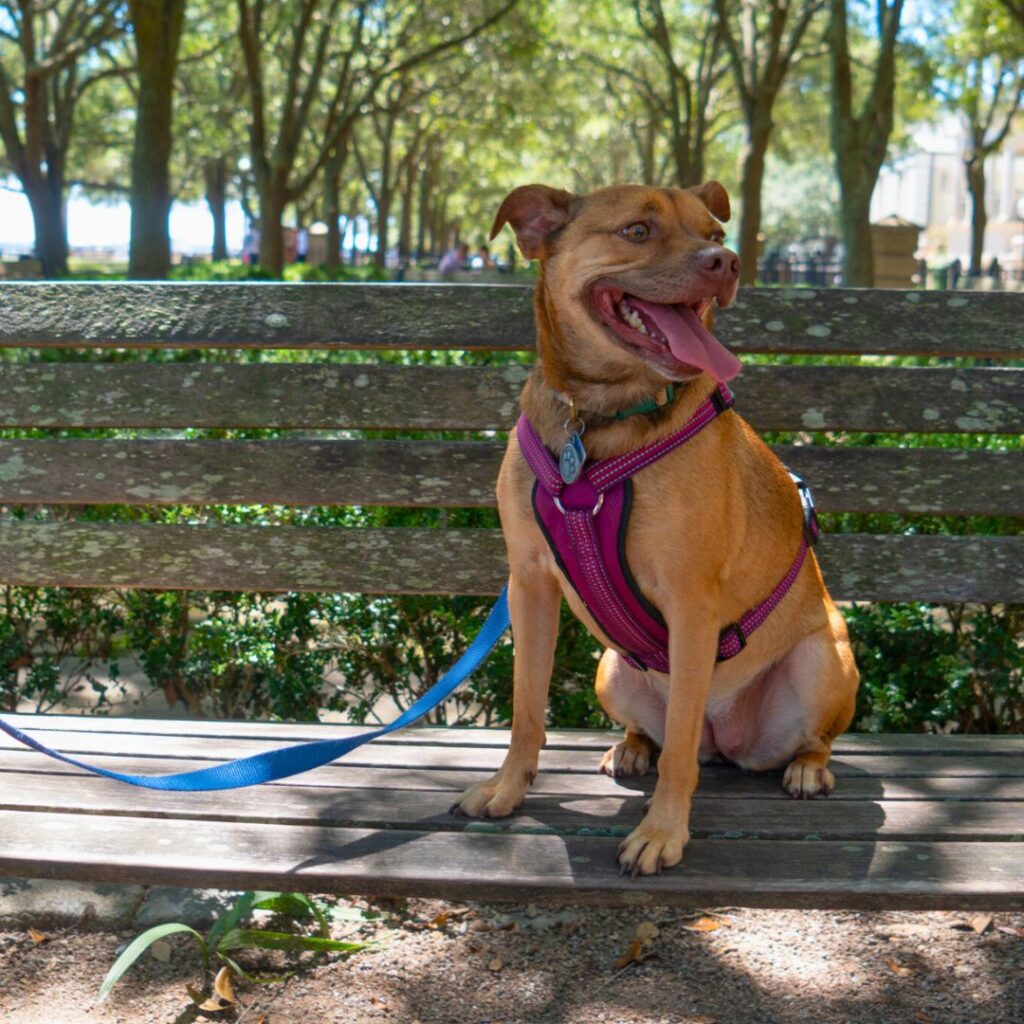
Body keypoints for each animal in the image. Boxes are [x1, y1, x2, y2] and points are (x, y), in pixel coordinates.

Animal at [452, 182, 860, 872]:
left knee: (779, 739)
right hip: (611, 670)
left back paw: (806, 767)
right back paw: (632, 745)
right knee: (664, 733)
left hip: (823, 660)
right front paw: (508, 789)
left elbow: (679, 760)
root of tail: (726, 739)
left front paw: (661, 833)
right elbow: (527, 709)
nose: (725, 262)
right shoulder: (529, 585)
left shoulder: (691, 605)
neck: (600, 420)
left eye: (715, 233)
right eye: (637, 231)